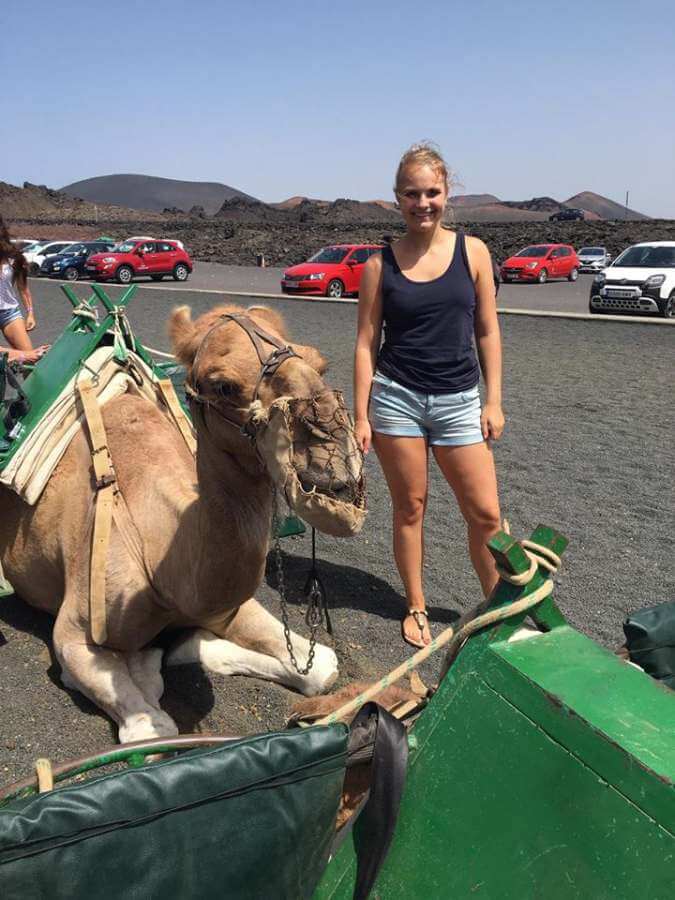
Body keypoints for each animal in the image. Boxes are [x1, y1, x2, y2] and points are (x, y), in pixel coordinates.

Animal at [0, 306, 364, 740]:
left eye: (319, 365)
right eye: (223, 385)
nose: (335, 461)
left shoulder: (225, 605)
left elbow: (323, 668)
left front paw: (186, 647)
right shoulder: (73, 634)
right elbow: (152, 728)